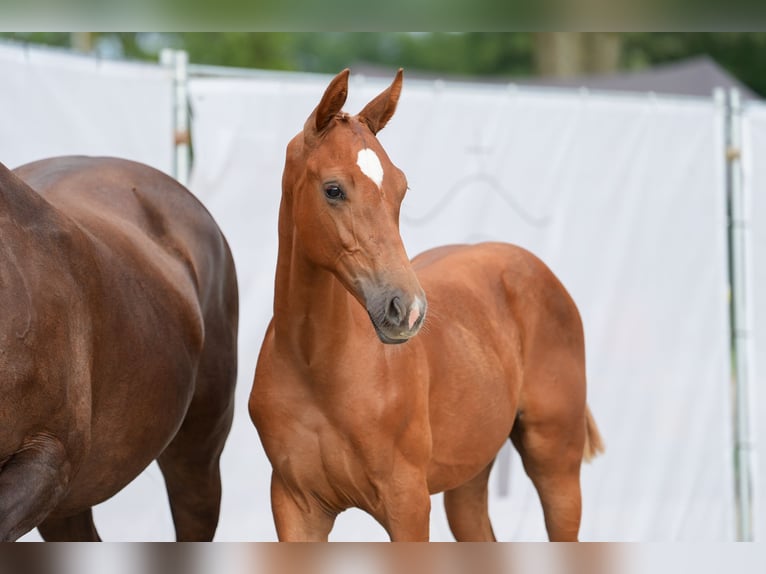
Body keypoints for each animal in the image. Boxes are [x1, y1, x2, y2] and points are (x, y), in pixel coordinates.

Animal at [249, 70, 604, 544]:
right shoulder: (295, 506)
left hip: (556, 466)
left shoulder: (408, 504)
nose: (407, 309)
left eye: (401, 189)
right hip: (470, 475)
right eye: (333, 189)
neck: (318, 368)